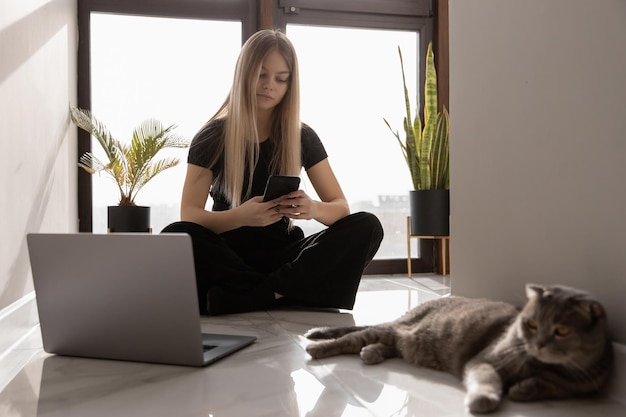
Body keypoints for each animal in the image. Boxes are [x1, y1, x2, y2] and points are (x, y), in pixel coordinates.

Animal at [304, 282, 612, 412]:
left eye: (562, 331)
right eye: (531, 324)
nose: (536, 343)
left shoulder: (577, 384)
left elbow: (551, 386)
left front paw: (525, 389)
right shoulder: (484, 361)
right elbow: (487, 379)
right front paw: (486, 399)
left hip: (402, 339)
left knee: (385, 345)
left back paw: (372, 353)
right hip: (394, 330)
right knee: (353, 337)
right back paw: (318, 347)